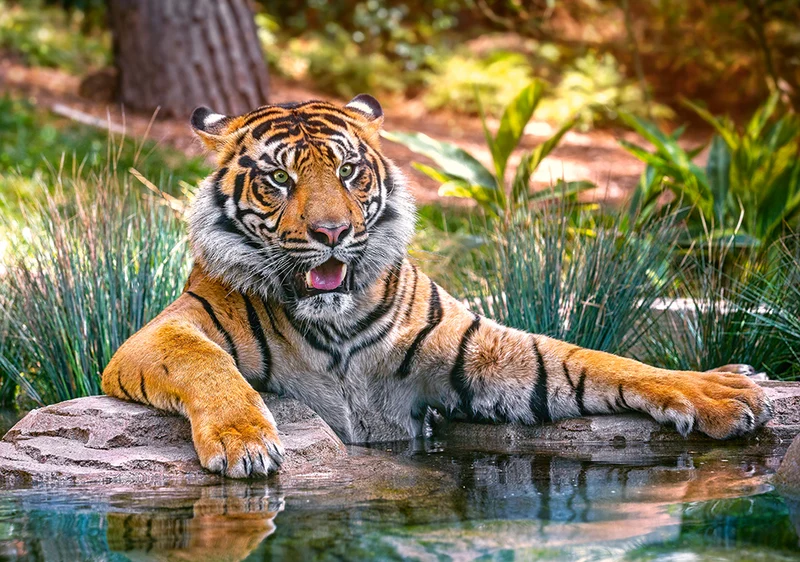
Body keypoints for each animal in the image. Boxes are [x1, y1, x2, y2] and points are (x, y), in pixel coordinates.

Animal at [102, 94, 773, 479]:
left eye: (348, 170)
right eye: (279, 179)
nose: (332, 231)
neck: (333, 321)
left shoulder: (479, 353)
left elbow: (595, 360)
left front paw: (722, 390)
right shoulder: (159, 333)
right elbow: (204, 362)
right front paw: (245, 442)